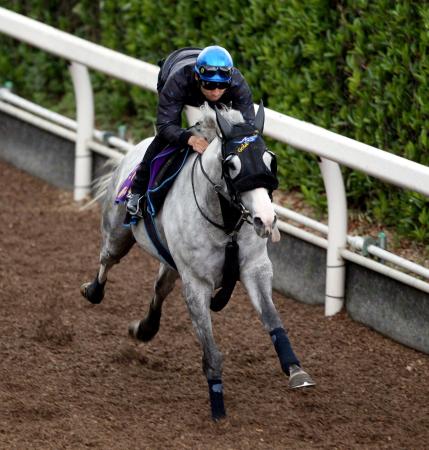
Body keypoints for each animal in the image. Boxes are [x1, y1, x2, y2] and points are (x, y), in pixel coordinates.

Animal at [81, 103, 314, 420]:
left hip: (170, 263)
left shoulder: (255, 269)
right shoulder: (197, 285)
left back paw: (145, 328)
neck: (225, 224)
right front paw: (217, 406)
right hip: (118, 234)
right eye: (232, 165)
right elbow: (211, 352)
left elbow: (273, 321)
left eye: (270, 160)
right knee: (107, 260)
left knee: (159, 289)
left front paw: (296, 370)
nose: (265, 220)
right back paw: (93, 290)